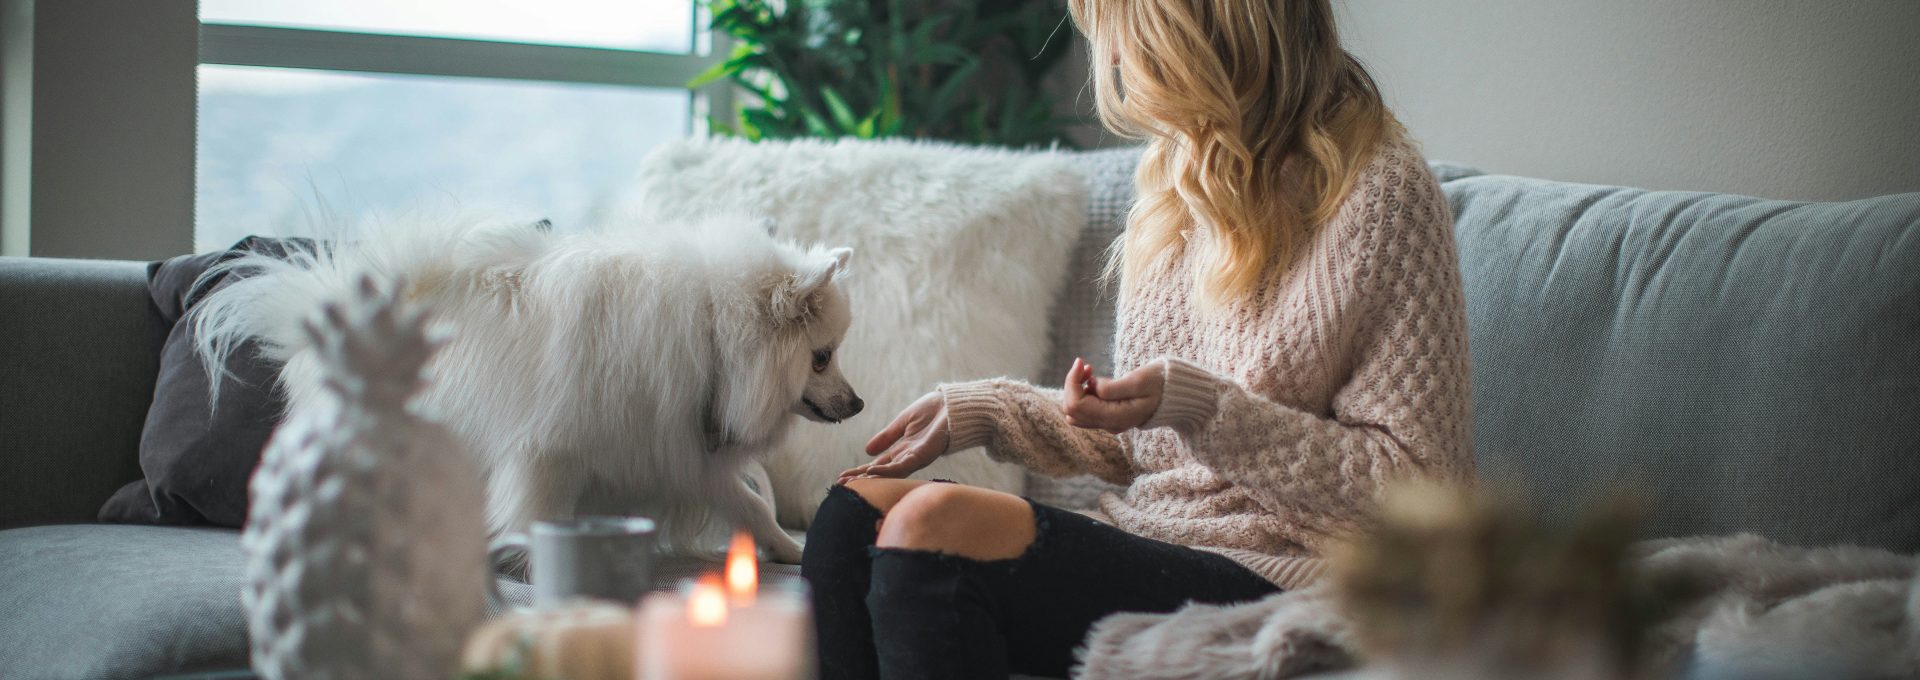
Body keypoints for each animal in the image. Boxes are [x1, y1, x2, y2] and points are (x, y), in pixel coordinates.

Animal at [192, 218, 856, 564]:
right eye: (822, 357)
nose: (859, 404)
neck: (712, 335)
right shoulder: (550, 454)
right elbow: (539, 514)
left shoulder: (678, 450)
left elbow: (751, 506)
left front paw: (789, 550)